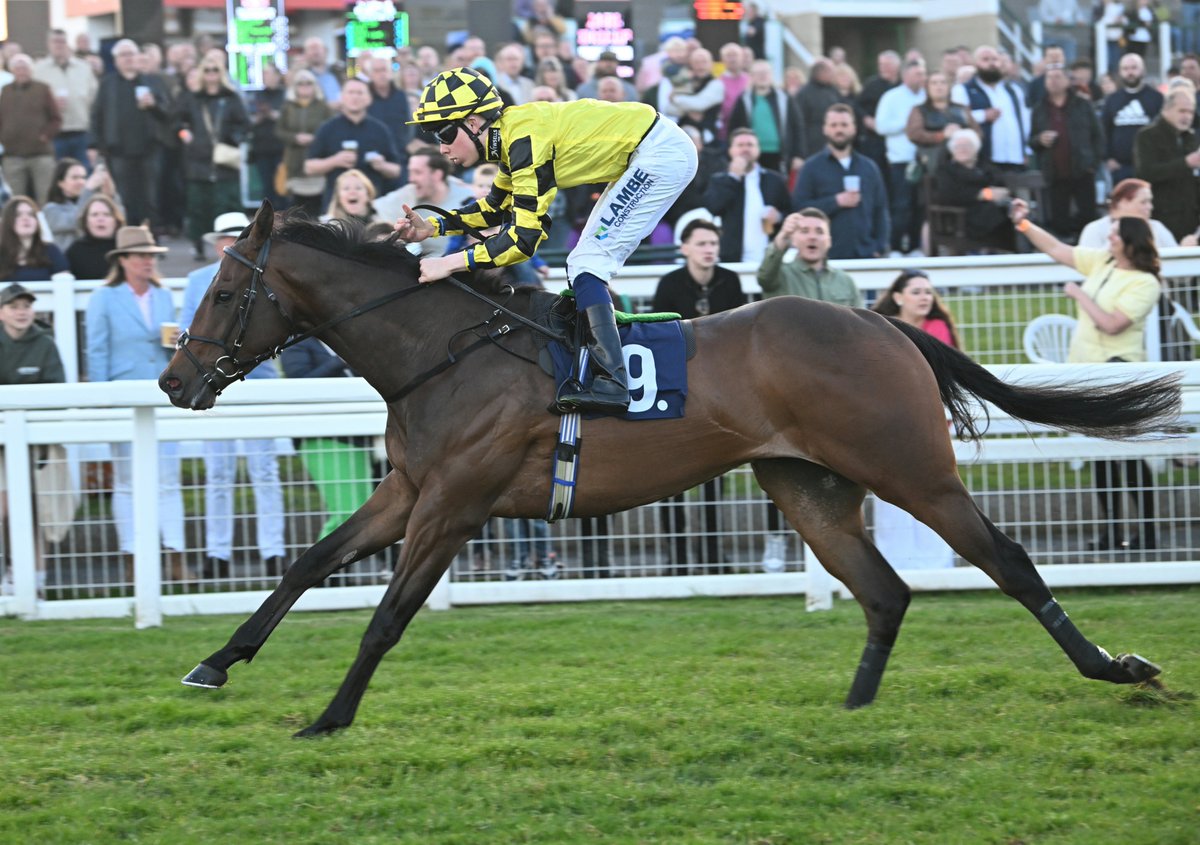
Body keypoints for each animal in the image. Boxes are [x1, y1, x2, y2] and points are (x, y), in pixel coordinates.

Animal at [154, 201, 1176, 734]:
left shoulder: (454, 501)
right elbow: (307, 563)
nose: (172, 378)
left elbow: (386, 616)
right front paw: (214, 662)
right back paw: (850, 709)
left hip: (911, 469)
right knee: (885, 591)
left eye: (224, 289)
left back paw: (1117, 668)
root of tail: (881, 320)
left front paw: (329, 715)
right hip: (805, 484)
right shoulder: (408, 488)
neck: (443, 350)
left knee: (1009, 559)